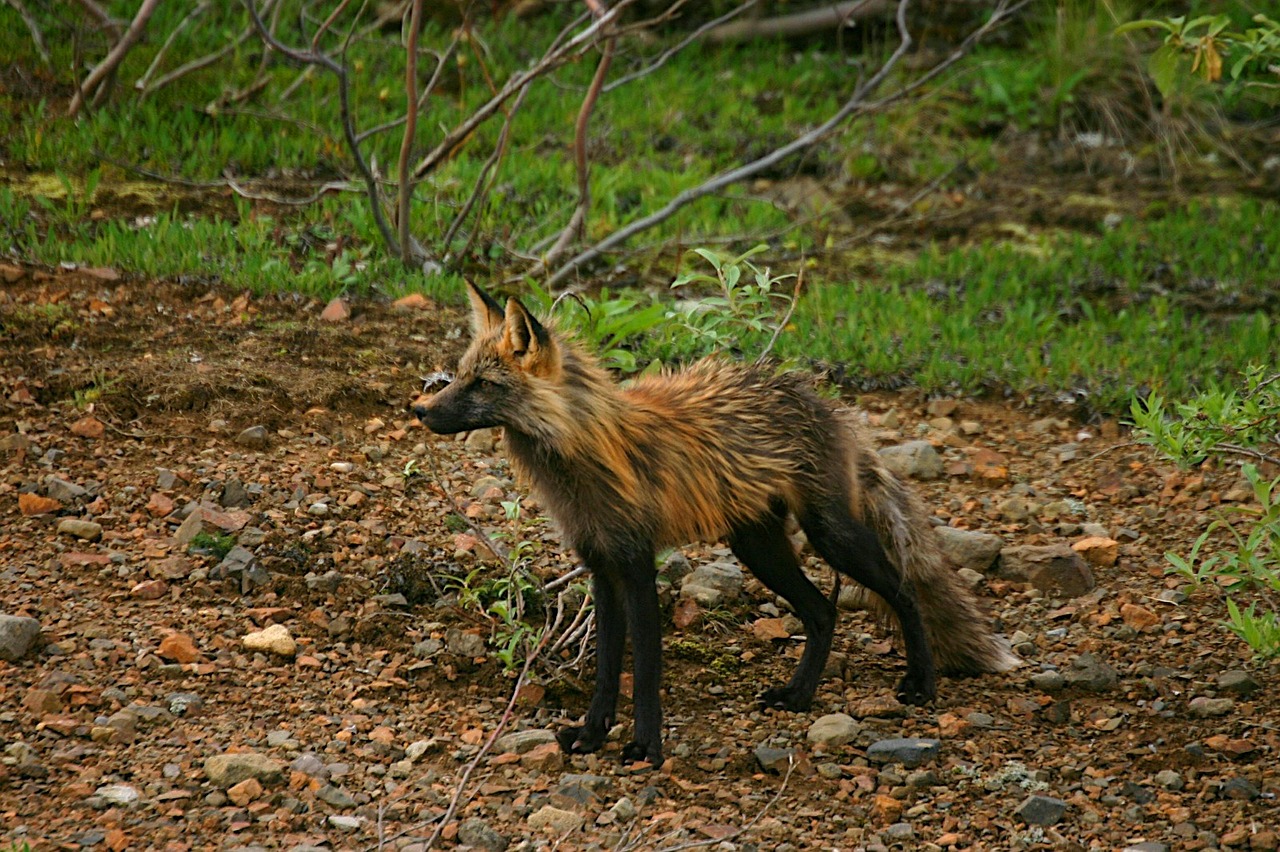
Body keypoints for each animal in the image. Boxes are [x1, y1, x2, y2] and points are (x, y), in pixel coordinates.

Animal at [412, 278, 1018, 762]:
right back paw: (799, 696)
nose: (419, 410)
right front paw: (591, 735)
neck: (585, 455)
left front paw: (644, 747)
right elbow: (607, 669)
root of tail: (824, 403)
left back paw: (920, 682)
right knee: (822, 612)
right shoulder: (601, 566)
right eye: (459, 376)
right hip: (758, 547)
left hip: (830, 536)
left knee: (904, 590)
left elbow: (645, 670)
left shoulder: (637, 566)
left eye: (483, 384)